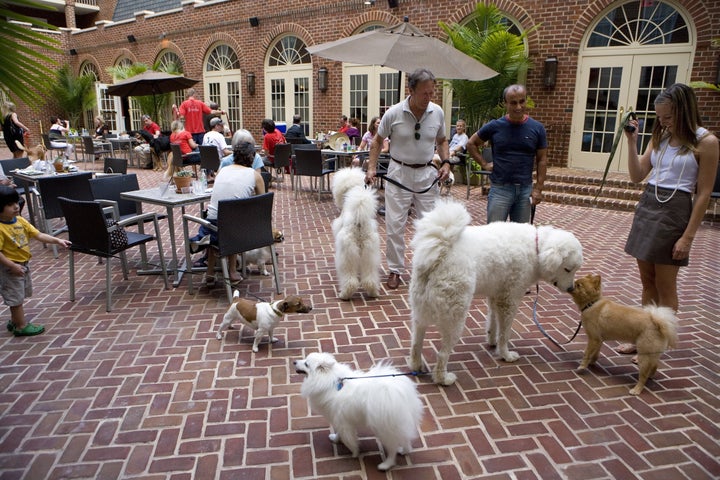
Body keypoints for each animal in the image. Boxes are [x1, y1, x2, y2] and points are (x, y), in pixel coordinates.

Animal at [296, 350, 424, 470]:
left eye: (306, 364)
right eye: (304, 359)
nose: (294, 362)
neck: (331, 382)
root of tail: (401, 394)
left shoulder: (343, 422)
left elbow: (349, 440)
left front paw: (354, 453)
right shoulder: (340, 419)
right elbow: (339, 432)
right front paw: (336, 439)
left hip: (383, 428)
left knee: (392, 448)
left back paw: (386, 465)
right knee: (405, 439)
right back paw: (404, 451)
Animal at [330, 167, 380, 298]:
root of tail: (359, 223)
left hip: (347, 254)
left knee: (350, 280)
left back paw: (344, 295)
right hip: (370, 253)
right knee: (369, 277)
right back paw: (373, 293)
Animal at [408, 201, 584, 384]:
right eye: (568, 269)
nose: (571, 289)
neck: (537, 248)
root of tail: (441, 249)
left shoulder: (495, 296)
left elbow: (493, 322)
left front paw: (492, 341)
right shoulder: (510, 301)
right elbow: (505, 333)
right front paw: (505, 354)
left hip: (419, 311)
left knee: (415, 343)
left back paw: (416, 366)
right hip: (455, 318)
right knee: (442, 354)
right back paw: (443, 379)